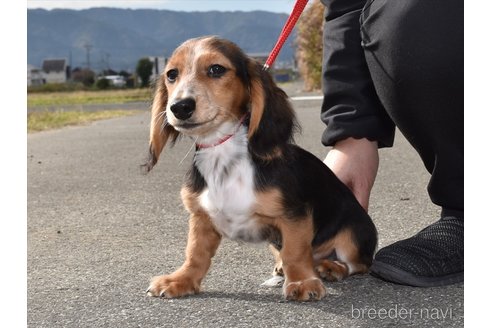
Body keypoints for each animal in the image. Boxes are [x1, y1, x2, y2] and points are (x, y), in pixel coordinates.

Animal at [142, 36, 376, 302]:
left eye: (216, 69)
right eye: (172, 74)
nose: (180, 107)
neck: (222, 154)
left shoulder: (294, 216)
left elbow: (295, 252)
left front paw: (302, 281)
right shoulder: (201, 217)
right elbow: (195, 253)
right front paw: (180, 280)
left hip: (354, 235)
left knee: (359, 264)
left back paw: (331, 267)